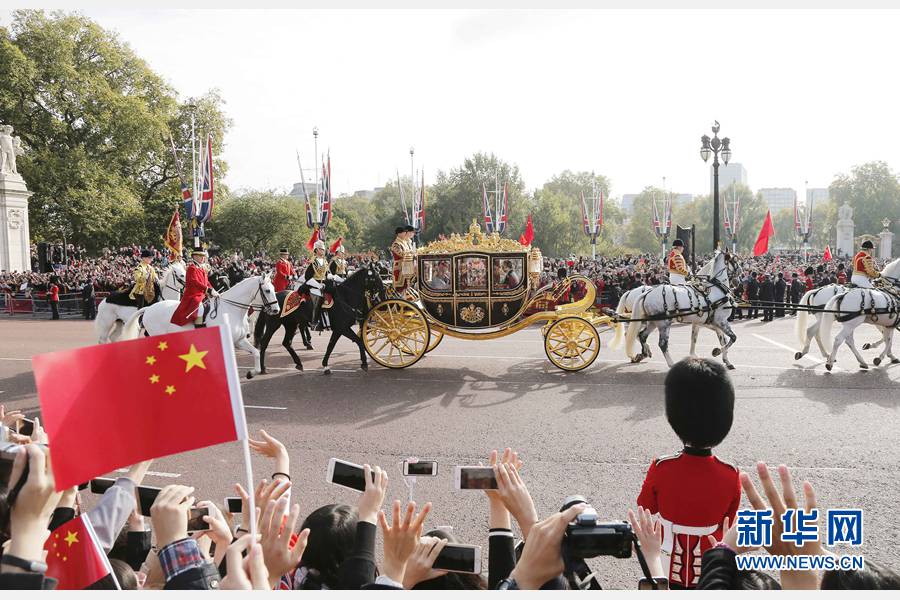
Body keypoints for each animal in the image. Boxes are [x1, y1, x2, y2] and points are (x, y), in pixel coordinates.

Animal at [119, 276, 280, 378]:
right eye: (267, 290)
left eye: (273, 288)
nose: (276, 310)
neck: (230, 310)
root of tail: (149, 308)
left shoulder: (239, 341)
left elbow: (256, 352)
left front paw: (251, 373)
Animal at [251, 264, 384, 372]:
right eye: (375, 277)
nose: (383, 293)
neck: (344, 297)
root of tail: (272, 299)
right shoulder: (342, 328)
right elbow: (359, 341)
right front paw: (364, 363)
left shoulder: (338, 329)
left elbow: (331, 346)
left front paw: (325, 365)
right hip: (274, 325)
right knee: (264, 342)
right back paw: (262, 368)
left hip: (291, 325)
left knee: (287, 342)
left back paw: (299, 363)